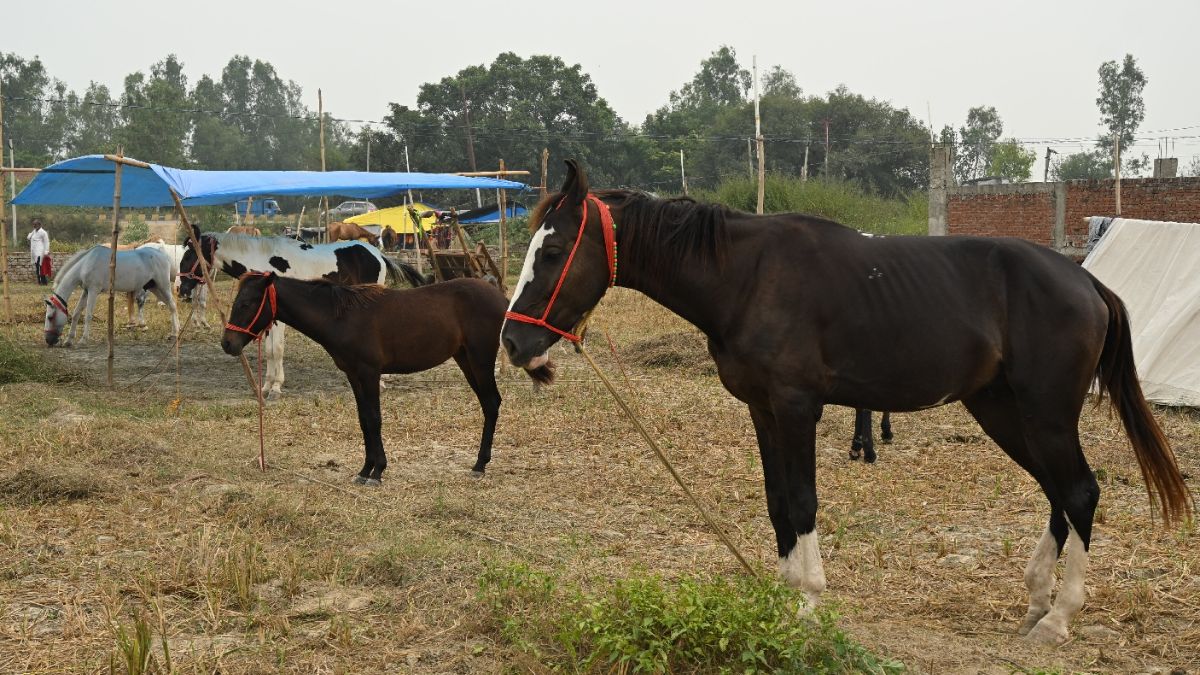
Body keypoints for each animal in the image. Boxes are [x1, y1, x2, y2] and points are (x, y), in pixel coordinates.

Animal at [44, 245, 179, 347]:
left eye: (50, 317)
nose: (48, 341)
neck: (87, 263)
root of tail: (163, 255)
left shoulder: (93, 291)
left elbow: (88, 315)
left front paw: (83, 339)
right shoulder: (86, 291)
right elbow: (77, 313)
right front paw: (69, 340)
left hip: (163, 286)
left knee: (172, 305)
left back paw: (175, 333)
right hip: (155, 288)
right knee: (170, 305)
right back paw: (176, 329)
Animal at [178, 228, 423, 399]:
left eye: (189, 256)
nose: (182, 290)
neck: (263, 261)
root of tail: (378, 254)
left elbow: (276, 349)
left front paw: (276, 388)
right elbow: (269, 350)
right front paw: (266, 386)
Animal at [221, 273, 555, 484]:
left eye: (247, 303)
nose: (228, 344)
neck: (341, 317)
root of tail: (500, 298)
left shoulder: (369, 373)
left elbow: (375, 419)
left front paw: (377, 471)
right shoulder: (354, 375)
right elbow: (364, 420)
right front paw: (364, 469)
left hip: (479, 359)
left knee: (491, 403)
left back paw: (479, 465)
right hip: (464, 359)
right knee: (489, 403)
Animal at [500, 160, 1193, 645]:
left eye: (553, 251)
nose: (513, 341)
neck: (746, 277)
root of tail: (1087, 281)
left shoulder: (796, 407)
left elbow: (803, 502)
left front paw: (809, 601)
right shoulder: (762, 411)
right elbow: (778, 503)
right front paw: (783, 598)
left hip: (1044, 414)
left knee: (1079, 492)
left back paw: (1058, 619)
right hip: (1003, 411)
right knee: (1058, 493)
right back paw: (1035, 604)